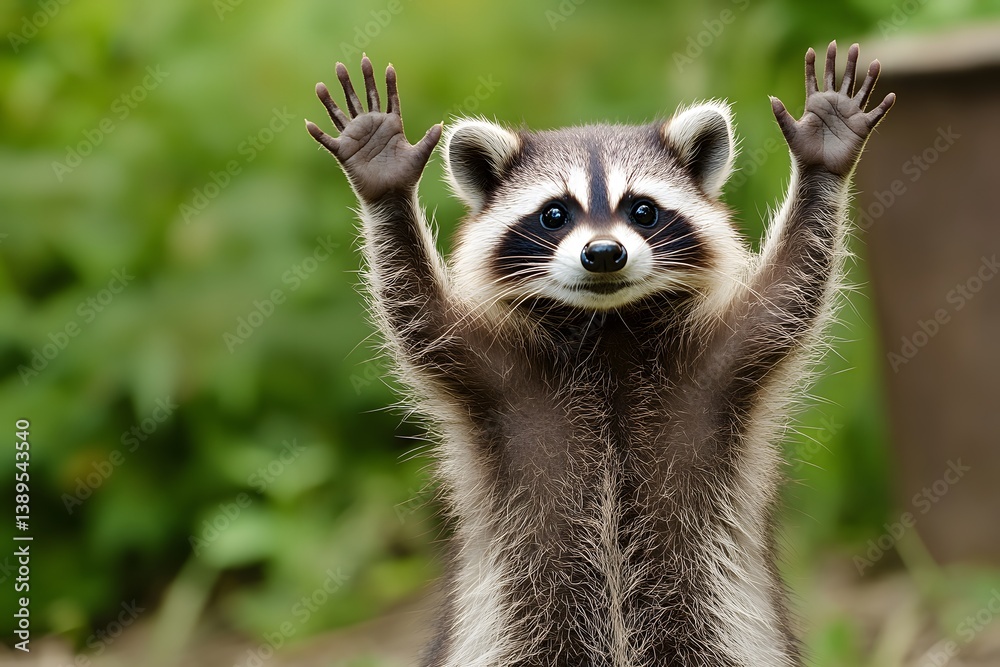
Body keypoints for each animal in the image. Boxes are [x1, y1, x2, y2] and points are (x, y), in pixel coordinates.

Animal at [306, 42, 893, 667]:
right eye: (554, 214)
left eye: (642, 210)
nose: (605, 253)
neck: (608, 328)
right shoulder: (494, 373)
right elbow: (417, 313)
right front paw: (384, 181)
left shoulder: (719, 365)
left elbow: (790, 291)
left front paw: (822, 159)